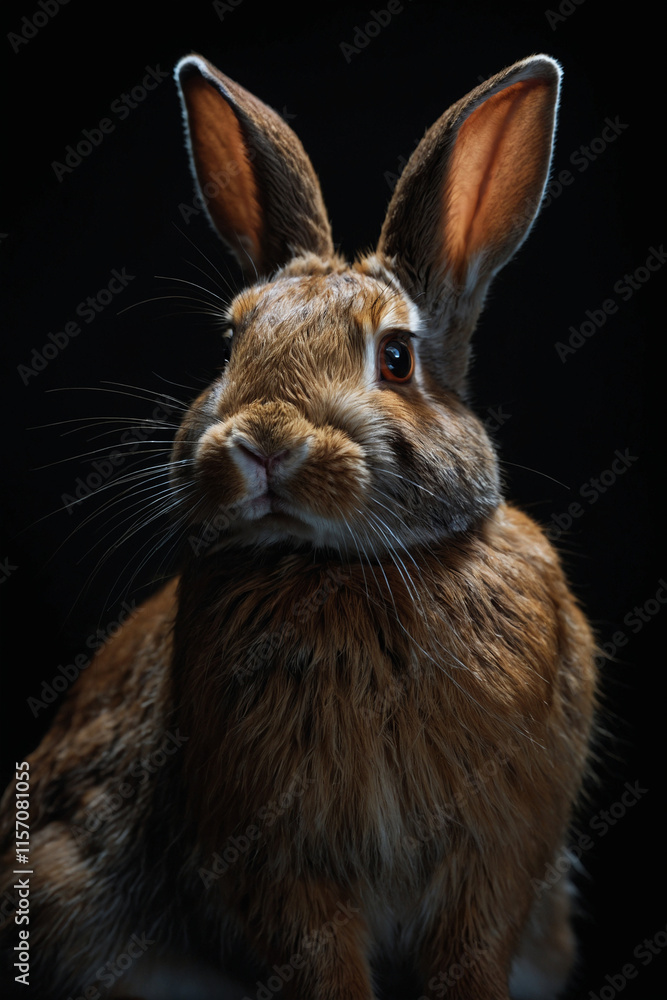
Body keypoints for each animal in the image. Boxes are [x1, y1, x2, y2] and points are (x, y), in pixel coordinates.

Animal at [0, 52, 598, 1000]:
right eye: (230, 343)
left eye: (395, 359)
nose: (263, 441)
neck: (345, 568)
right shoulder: (273, 857)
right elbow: (318, 960)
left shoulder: (492, 853)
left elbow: (468, 950)